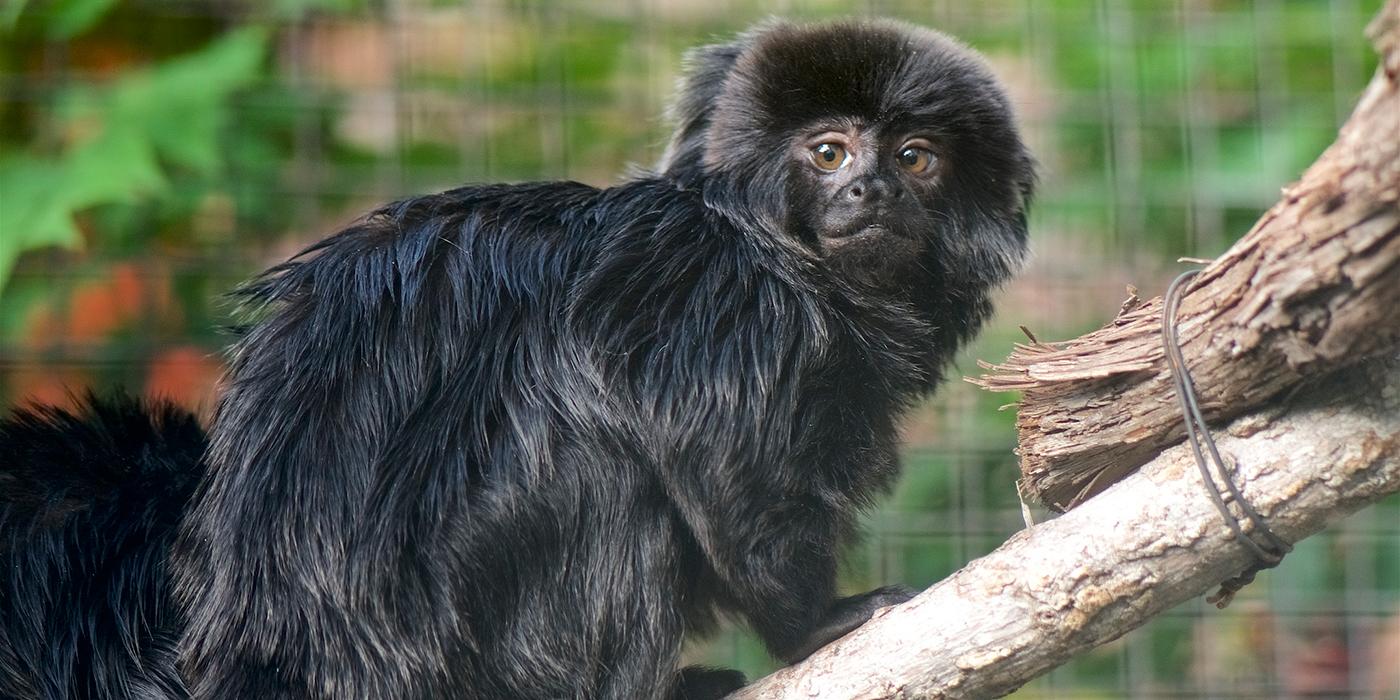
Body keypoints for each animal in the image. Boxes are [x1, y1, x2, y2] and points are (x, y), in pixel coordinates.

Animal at [0, 19, 1030, 697]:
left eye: (916, 157)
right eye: (827, 153)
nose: (869, 189)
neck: (777, 251)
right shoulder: (709, 292)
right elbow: (719, 468)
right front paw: (812, 625)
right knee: (610, 466)